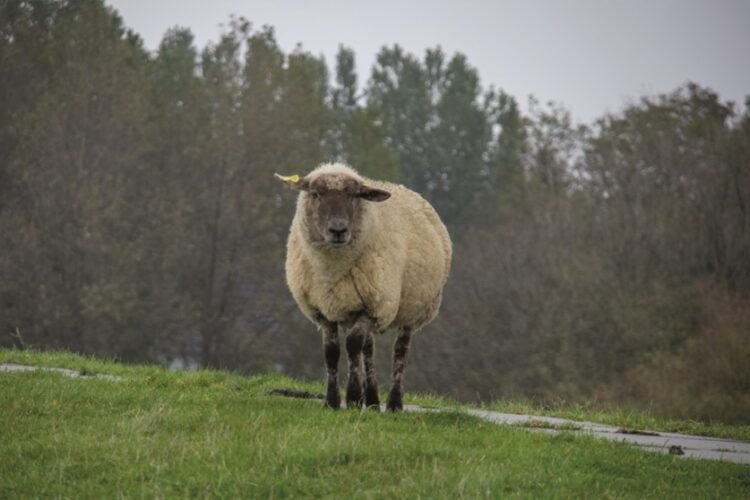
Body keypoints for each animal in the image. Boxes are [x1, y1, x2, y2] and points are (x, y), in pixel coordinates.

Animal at [276, 164, 452, 410]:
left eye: (354, 196)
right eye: (316, 194)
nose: (338, 230)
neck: (332, 270)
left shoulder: (373, 307)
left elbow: (352, 346)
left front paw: (351, 397)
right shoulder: (323, 311)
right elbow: (332, 352)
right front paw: (332, 402)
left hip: (413, 309)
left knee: (400, 351)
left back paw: (393, 403)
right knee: (368, 350)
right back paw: (371, 401)